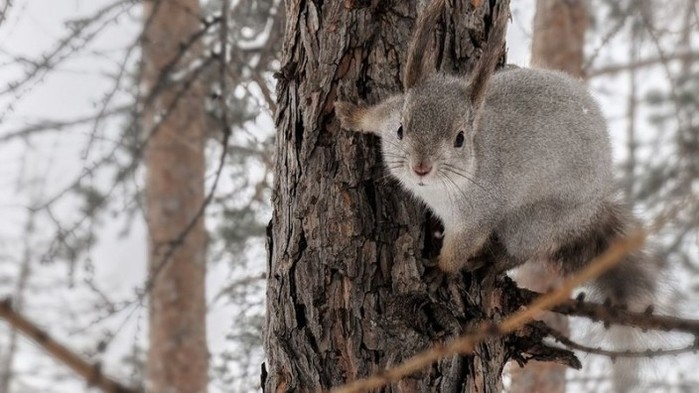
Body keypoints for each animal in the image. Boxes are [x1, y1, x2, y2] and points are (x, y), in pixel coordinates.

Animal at [336, 0, 660, 306]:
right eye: (401, 129)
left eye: (460, 139)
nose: (421, 167)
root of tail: (595, 206)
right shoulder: (390, 113)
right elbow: (376, 115)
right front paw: (351, 114)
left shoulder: (477, 214)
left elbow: (461, 248)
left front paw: (442, 270)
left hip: (535, 223)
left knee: (520, 250)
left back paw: (491, 261)